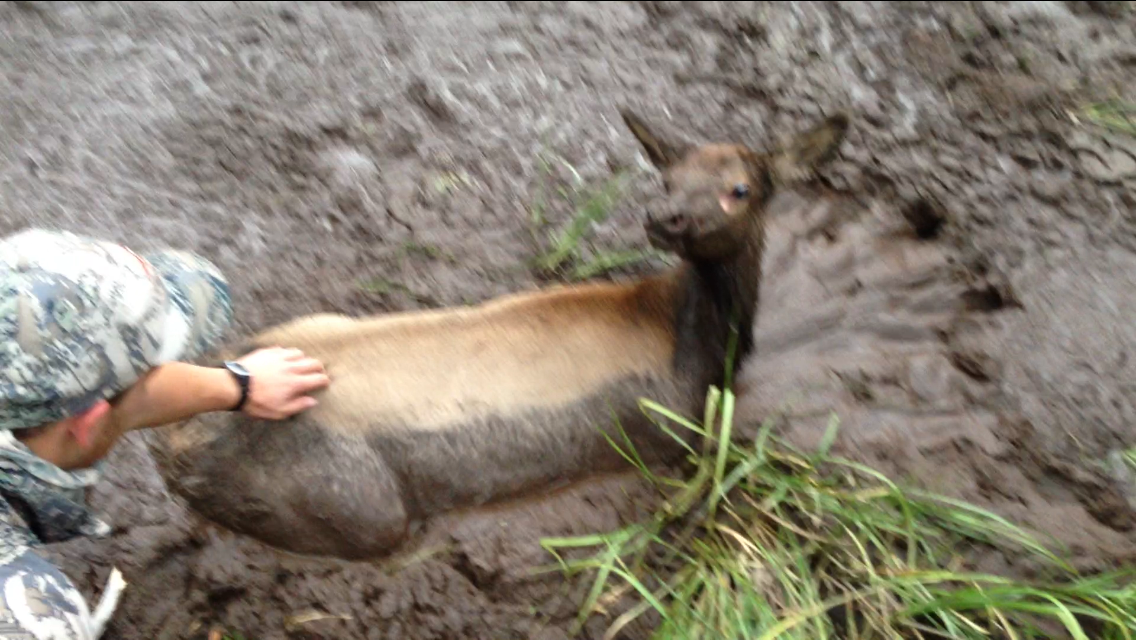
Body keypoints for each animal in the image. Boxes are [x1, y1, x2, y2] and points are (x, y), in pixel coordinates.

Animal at [151, 110, 849, 561]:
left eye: (740, 188)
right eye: (668, 178)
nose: (665, 216)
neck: (707, 349)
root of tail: (170, 447)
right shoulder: (668, 434)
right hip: (355, 502)